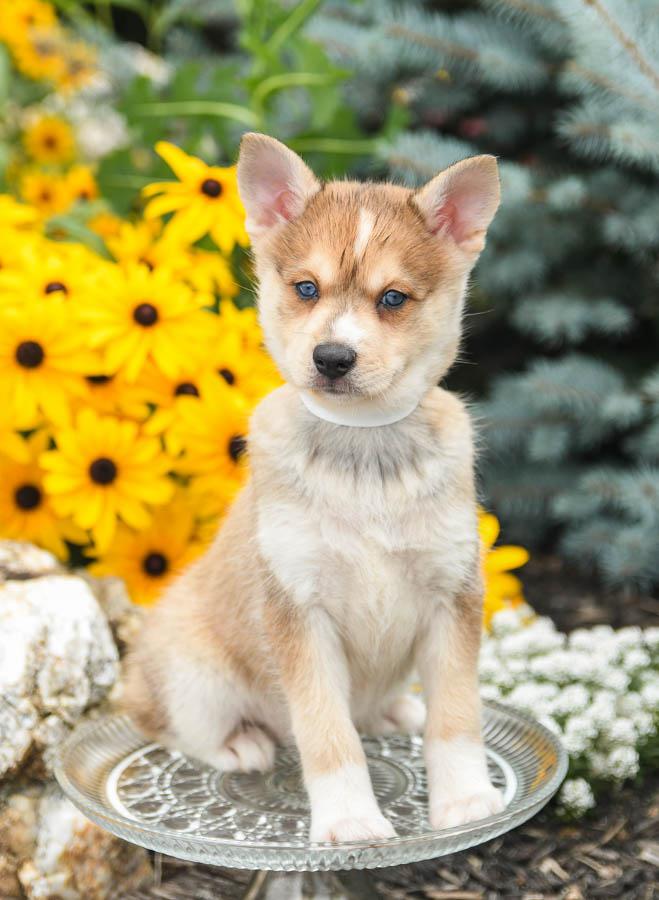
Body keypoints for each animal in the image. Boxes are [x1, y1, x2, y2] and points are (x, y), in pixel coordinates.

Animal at [124, 135, 502, 844]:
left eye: (392, 298)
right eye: (306, 288)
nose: (332, 358)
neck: (365, 451)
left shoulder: (452, 596)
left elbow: (457, 718)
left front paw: (465, 801)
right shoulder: (301, 611)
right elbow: (328, 735)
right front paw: (351, 822)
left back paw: (394, 713)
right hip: (197, 678)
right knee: (168, 727)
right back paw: (241, 744)